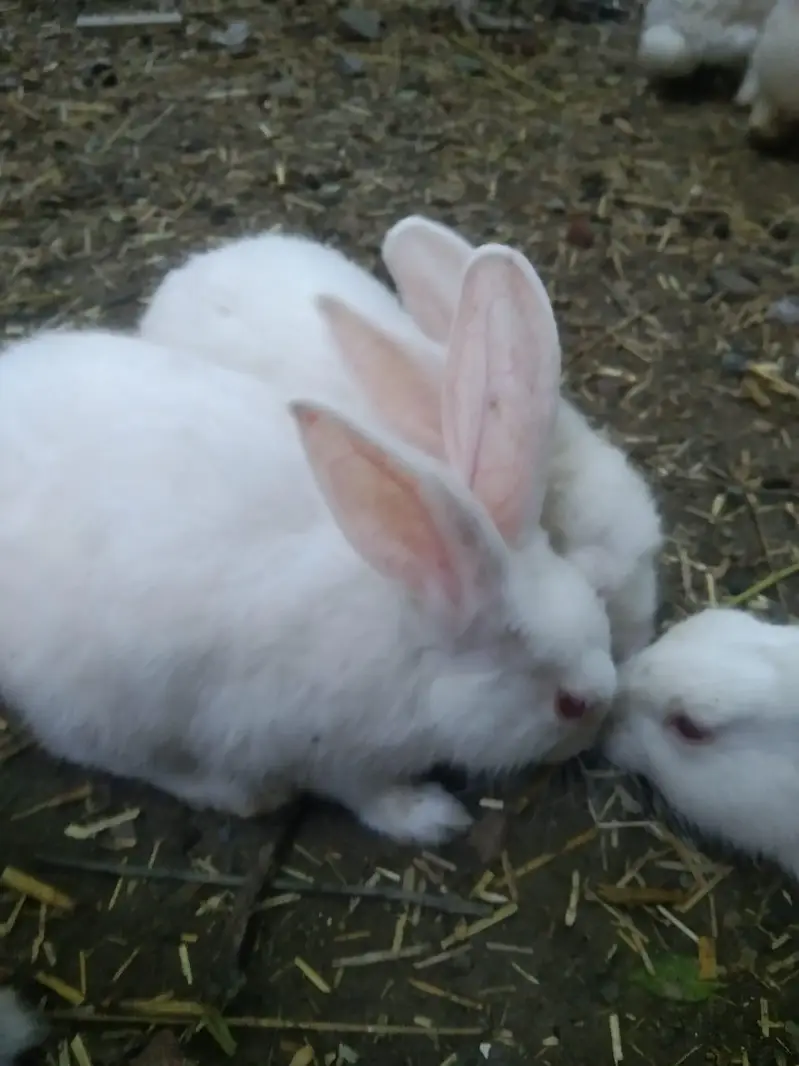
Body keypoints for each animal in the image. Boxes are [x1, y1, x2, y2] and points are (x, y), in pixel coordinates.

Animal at [0, 262, 615, 847]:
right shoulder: (324, 749)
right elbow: (367, 793)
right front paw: (429, 818)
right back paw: (244, 793)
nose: (601, 722)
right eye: (568, 704)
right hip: (103, 708)